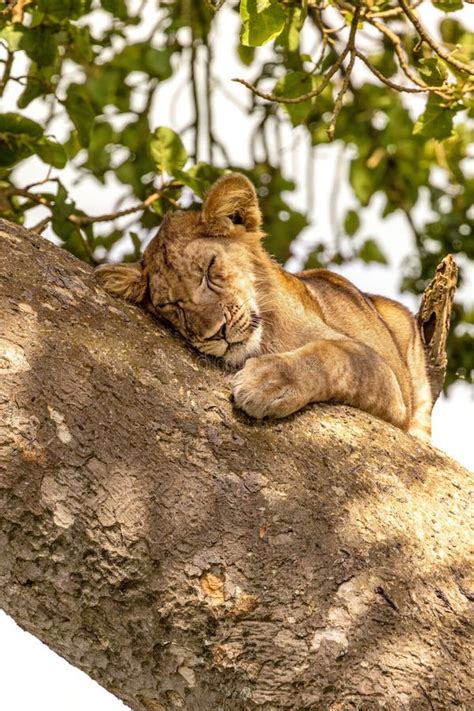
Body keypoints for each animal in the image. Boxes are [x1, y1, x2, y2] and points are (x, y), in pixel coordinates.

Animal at [95, 173, 452, 442]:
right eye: (172, 306)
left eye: (209, 269)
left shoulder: (386, 379)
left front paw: (268, 383)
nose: (216, 333)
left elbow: (329, 355)